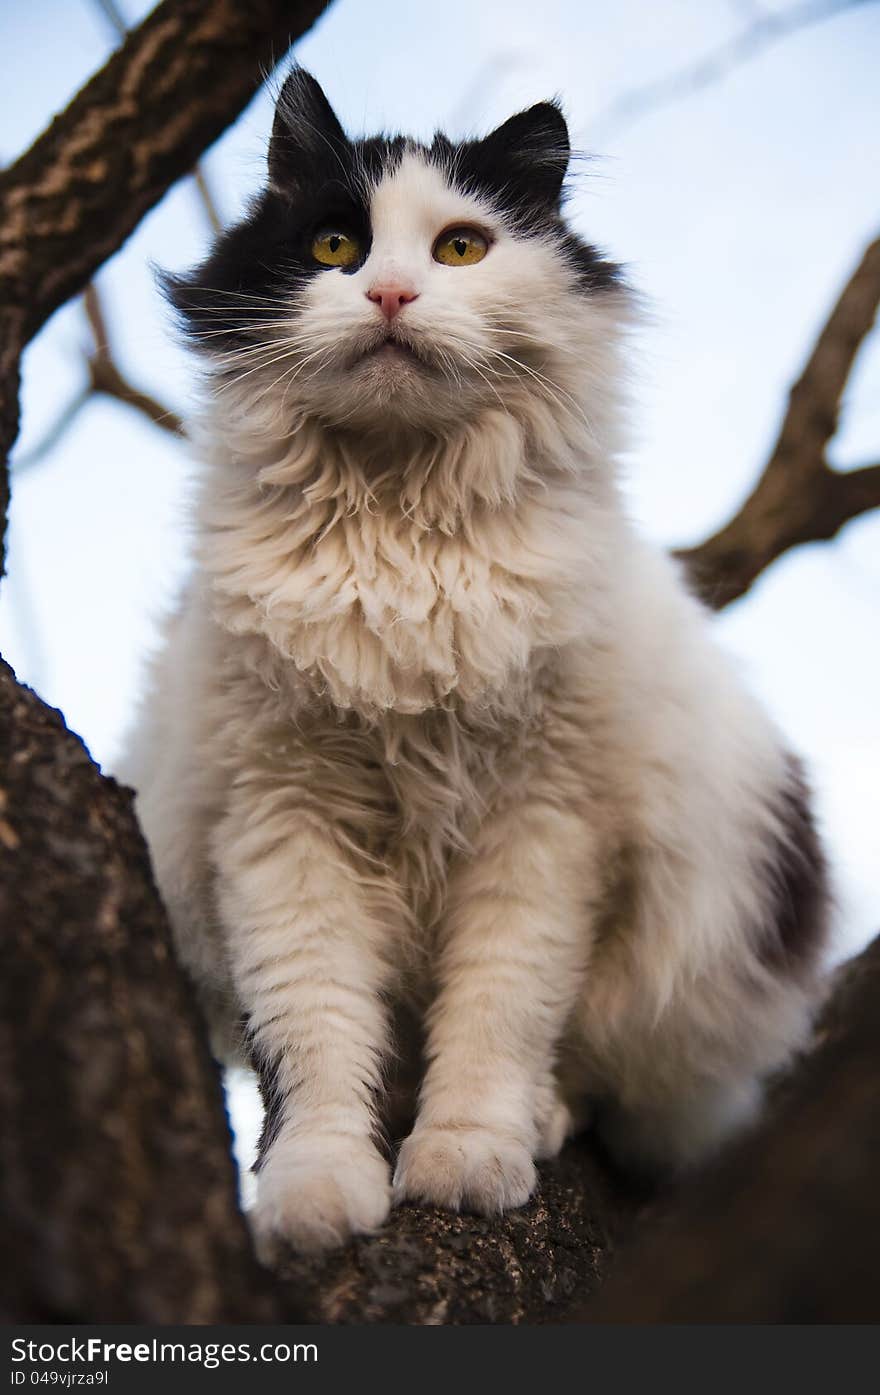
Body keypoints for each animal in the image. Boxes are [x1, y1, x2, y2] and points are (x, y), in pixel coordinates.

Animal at [118, 70, 831, 1261]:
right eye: (334, 244)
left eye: (459, 248)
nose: (392, 294)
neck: (402, 535)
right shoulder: (279, 821)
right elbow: (314, 1039)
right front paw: (315, 1191)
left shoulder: (542, 825)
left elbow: (499, 1013)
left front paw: (467, 1155)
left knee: (596, 1073)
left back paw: (538, 1121)